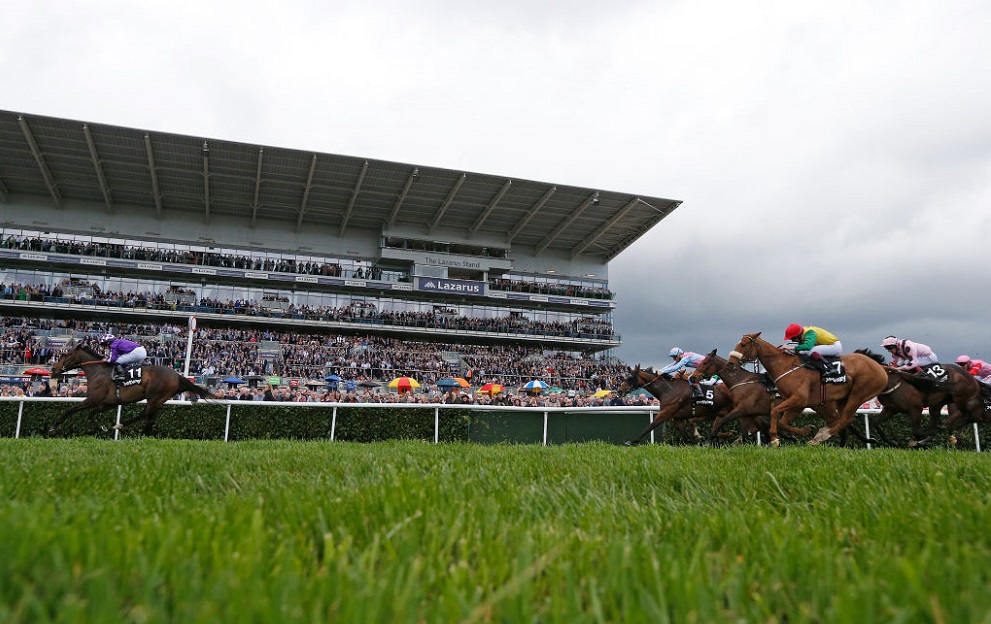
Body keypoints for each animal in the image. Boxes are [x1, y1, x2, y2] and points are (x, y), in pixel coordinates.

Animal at [49, 342, 214, 434]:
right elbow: (91, 415)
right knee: (147, 416)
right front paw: (102, 428)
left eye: (65, 354)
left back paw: (127, 428)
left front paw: (53, 426)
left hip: (155, 397)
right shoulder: (106, 403)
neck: (98, 371)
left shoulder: (93, 399)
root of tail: (177, 376)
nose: (53, 369)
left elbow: (72, 409)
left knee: (146, 416)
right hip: (159, 400)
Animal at [724, 334, 888, 446]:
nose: (730, 363)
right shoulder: (798, 403)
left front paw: (775, 438)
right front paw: (804, 430)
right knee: (841, 419)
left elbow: (775, 412)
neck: (784, 365)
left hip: (859, 394)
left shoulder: (799, 399)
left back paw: (821, 437)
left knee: (846, 419)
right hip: (841, 399)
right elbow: (783, 421)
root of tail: (880, 367)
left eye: (743, 344)